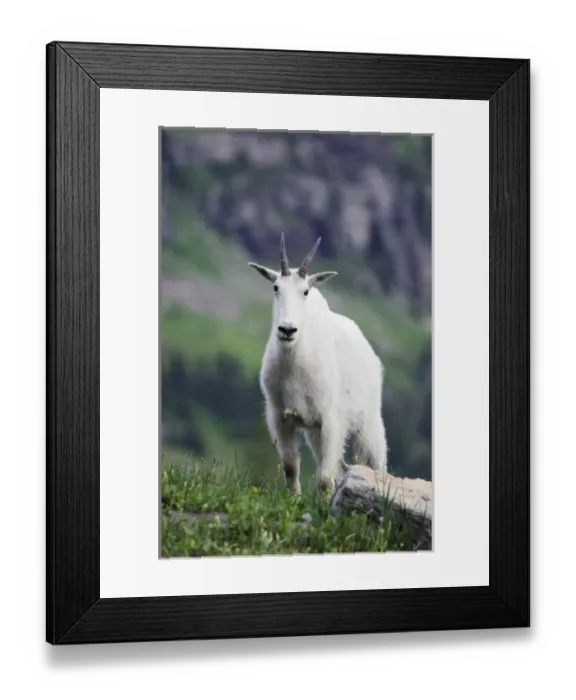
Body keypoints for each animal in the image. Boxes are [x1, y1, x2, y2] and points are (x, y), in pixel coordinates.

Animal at [248, 234, 388, 495]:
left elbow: (324, 477)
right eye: (275, 287)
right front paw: (293, 499)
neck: (294, 362)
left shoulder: (331, 421)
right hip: (314, 431)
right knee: (340, 468)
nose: (287, 330)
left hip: (368, 420)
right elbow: (291, 466)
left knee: (376, 462)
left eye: (305, 291)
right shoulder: (280, 417)